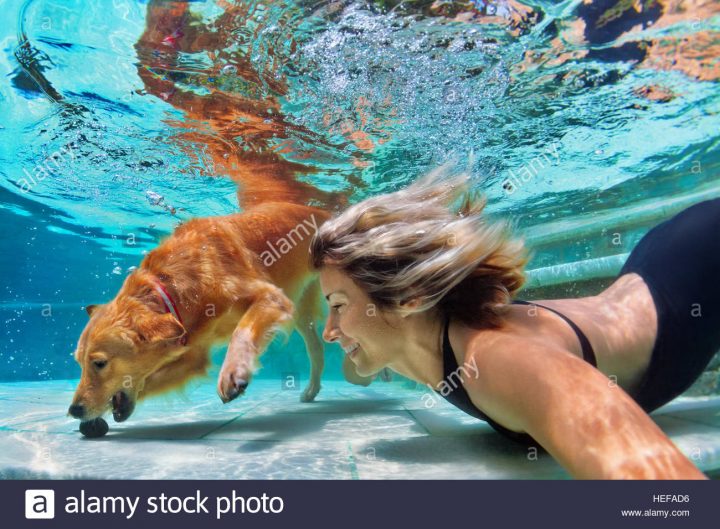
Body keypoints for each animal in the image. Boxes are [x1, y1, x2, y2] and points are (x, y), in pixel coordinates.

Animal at [67, 202, 368, 424]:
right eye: (78, 362)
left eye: (99, 363)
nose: (73, 410)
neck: (171, 287)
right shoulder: (193, 352)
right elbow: (150, 379)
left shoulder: (269, 297)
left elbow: (242, 331)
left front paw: (233, 372)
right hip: (301, 311)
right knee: (316, 348)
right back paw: (312, 390)